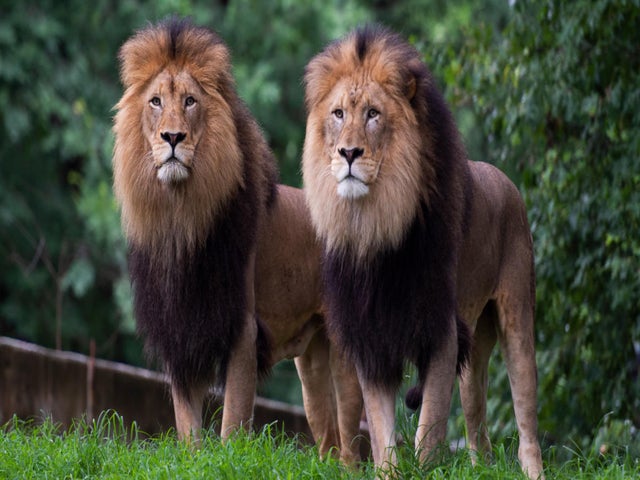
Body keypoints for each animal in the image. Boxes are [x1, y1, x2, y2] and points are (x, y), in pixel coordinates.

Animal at [112, 18, 362, 462]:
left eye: (190, 101)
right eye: (155, 101)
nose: (172, 137)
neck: (181, 219)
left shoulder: (241, 329)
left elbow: (233, 419)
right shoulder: (181, 329)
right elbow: (187, 423)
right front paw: (192, 461)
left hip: (343, 353)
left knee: (351, 443)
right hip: (312, 364)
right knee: (327, 436)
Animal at [302, 25, 544, 479]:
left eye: (374, 114)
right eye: (339, 114)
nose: (348, 153)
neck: (375, 226)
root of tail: (505, 179)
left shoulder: (442, 330)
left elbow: (428, 428)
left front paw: (426, 465)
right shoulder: (373, 336)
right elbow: (382, 434)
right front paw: (390, 471)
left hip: (517, 317)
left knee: (526, 419)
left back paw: (533, 468)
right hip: (475, 342)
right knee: (476, 422)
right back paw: (480, 466)